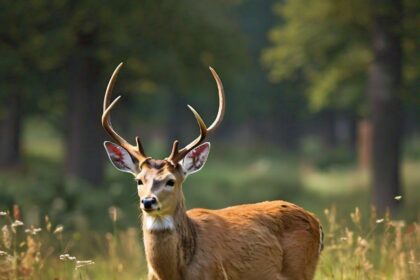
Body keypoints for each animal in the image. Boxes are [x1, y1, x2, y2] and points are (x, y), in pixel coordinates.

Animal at [101, 63, 324, 280]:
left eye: (170, 181)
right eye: (139, 180)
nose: (148, 201)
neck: (173, 273)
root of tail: (316, 221)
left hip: (301, 269)